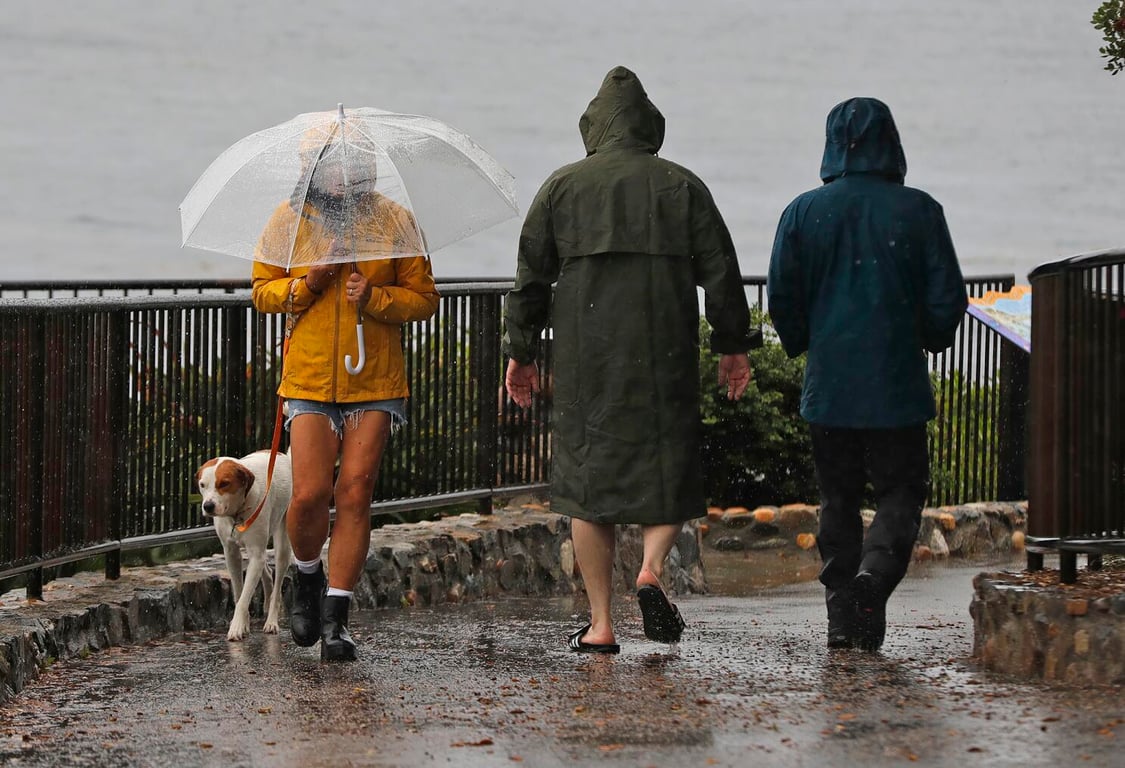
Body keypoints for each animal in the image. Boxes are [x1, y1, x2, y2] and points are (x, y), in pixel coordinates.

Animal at [196, 449, 294, 643]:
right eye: (202, 485)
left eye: (224, 483)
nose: (208, 506)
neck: (236, 512)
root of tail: (281, 455)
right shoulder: (231, 552)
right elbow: (239, 592)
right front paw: (244, 624)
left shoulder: (255, 554)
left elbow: (244, 596)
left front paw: (237, 627)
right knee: (267, 572)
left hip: (282, 543)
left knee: (277, 580)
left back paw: (271, 621)